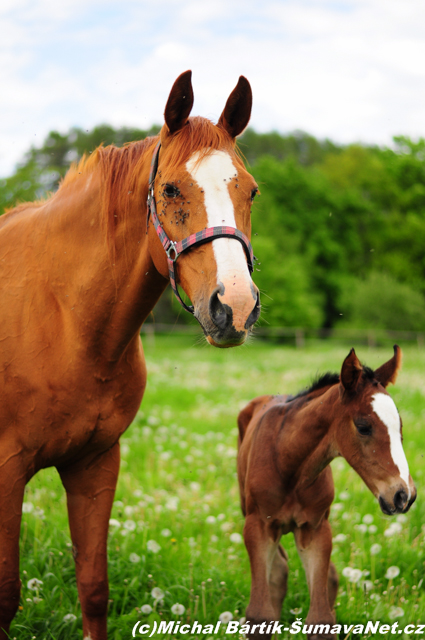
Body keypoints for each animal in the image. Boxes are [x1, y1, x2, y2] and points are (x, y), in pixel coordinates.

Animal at [0, 71, 260, 640]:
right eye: (170, 189)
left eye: (250, 190)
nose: (235, 306)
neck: (66, 318)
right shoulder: (5, 471)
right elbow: (6, 595)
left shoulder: (96, 463)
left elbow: (94, 587)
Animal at [237, 348, 416, 636]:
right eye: (363, 426)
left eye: (399, 427)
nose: (404, 495)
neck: (290, 464)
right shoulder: (258, 526)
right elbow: (259, 614)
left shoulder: (316, 528)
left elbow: (320, 616)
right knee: (278, 571)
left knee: (326, 577)